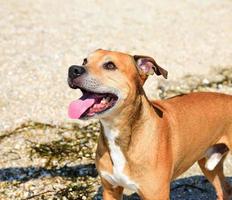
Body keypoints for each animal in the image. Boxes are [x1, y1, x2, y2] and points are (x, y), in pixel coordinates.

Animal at [67, 49, 232, 199]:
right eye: (84, 61)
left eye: (110, 65)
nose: (73, 69)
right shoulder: (111, 190)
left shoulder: (156, 194)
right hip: (208, 165)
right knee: (224, 191)